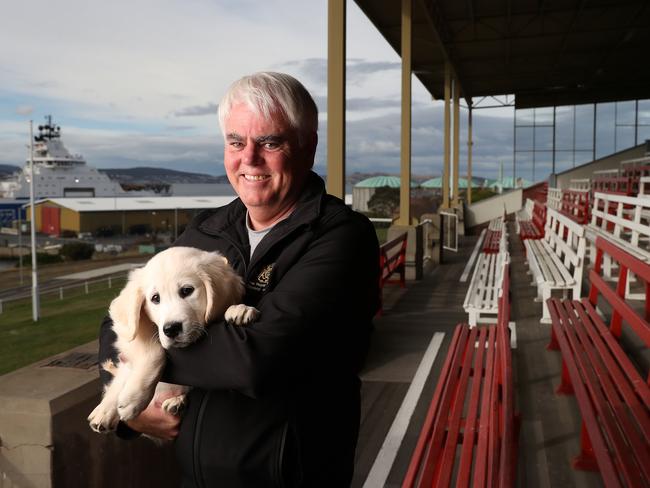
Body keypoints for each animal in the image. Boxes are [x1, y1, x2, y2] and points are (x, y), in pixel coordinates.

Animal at [88, 246, 256, 436]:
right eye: (155, 298)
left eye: (187, 290)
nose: (171, 329)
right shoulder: (131, 332)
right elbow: (154, 352)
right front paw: (134, 398)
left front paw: (240, 309)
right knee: (118, 382)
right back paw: (104, 412)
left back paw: (177, 402)